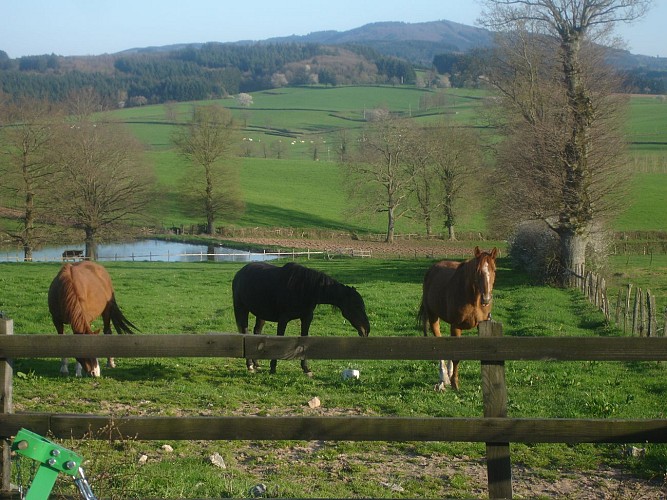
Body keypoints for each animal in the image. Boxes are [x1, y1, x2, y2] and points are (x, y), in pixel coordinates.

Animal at [232, 261, 371, 375]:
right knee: (245, 332)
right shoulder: (283, 319)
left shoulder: (306, 318)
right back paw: (250, 365)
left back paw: (256, 363)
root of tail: (240, 273)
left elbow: (304, 341)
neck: (304, 288)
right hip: (241, 309)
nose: (366, 330)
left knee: (256, 332)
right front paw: (273, 368)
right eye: (356, 306)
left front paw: (306, 368)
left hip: (261, 314)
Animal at [418, 246, 498, 391]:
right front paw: (455, 383)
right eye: (477, 270)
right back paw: (443, 377)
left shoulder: (482, 325)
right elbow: (456, 357)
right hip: (433, 317)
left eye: (494, 269)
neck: (472, 298)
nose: (486, 299)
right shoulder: (456, 325)